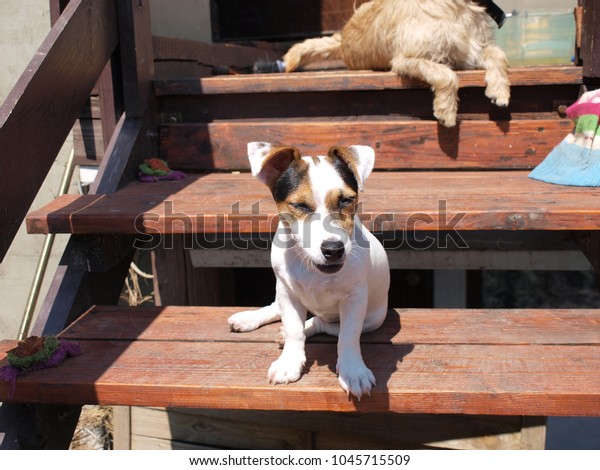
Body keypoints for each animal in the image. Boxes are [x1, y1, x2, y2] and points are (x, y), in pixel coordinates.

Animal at [229, 141, 390, 398]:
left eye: (346, 200)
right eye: (299, 205)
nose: (334, 250)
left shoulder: (355, 299)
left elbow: (348, 335)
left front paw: (353, 371)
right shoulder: (287, 292)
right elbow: (294, 329)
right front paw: (289, 362)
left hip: (373, 319)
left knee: (325, 325)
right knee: (277, 309)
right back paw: (249, 319)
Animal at [284, 0, 508, 126]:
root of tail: (342, 41)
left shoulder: (472, 49)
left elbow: (498, 54)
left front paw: (500, 91)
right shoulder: (405, 59)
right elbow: (444, 73)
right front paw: (446, 110)